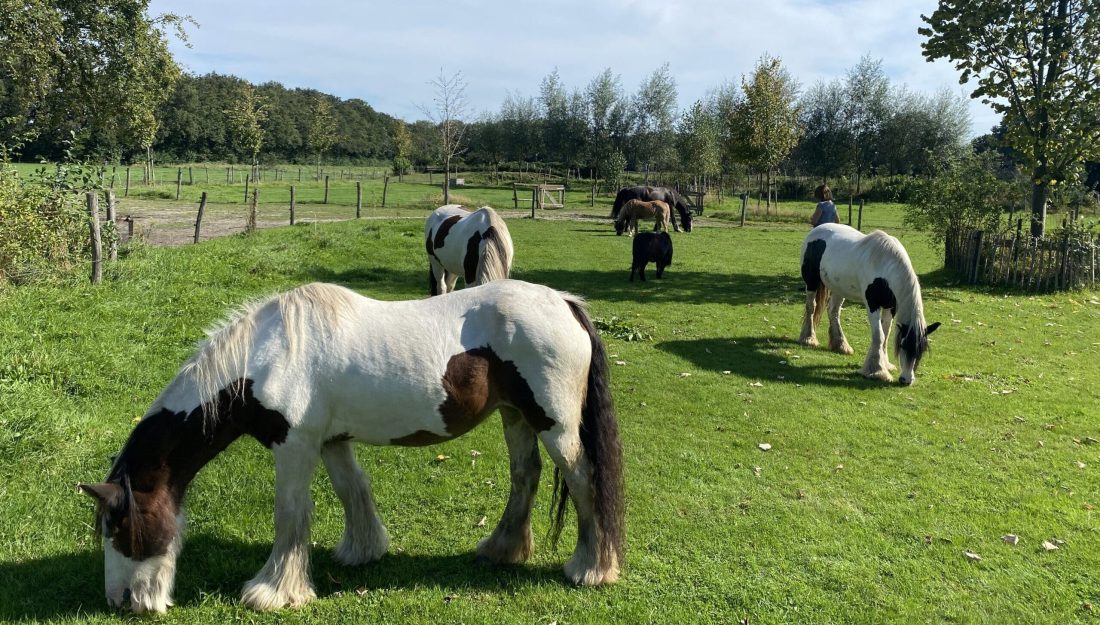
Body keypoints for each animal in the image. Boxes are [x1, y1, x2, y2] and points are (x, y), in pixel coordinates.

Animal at [79, 280, 624, 613]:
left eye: (118, 528)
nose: (121, 601)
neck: (266, 356)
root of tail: (566, 305)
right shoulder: (332, 442)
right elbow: (352, 492)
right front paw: (362, 552)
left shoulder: (294, 445)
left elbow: (291, 515)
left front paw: (273, 592)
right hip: (516, 417)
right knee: (524, 475)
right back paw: (501, 549)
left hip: (554, 424)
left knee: (583, 481)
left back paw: (591, 569)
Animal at [798, 223, 941, 385]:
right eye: (903, 345)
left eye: (922, 350)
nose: (906, 380)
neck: (884, 267)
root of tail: (817, 229)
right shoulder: (872, 305)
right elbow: (879, 335)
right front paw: (877, 371)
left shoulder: (890, 307)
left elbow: (885, 334)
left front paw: (886, 365)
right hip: (811, 282)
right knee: (811, 307)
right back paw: (808, 339)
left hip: (839, 288)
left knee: (833, 311)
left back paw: (841, 345)